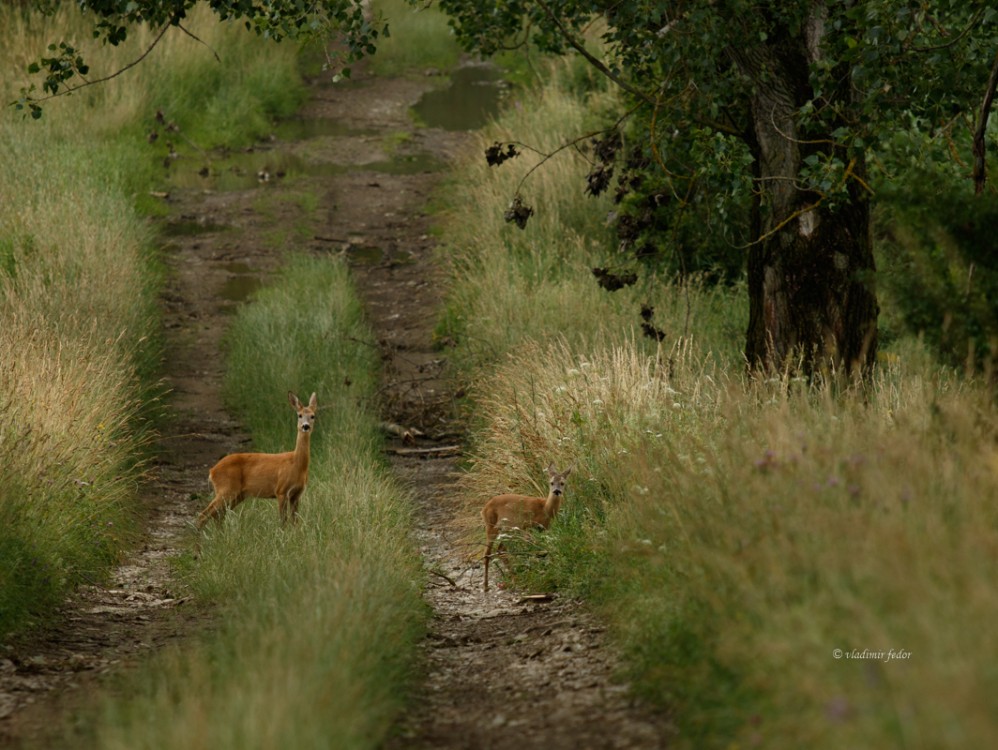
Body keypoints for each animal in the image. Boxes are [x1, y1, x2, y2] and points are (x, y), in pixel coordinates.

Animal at [197, 394, 318, 528]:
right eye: (299, 415)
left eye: (312, 416)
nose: (305, 426)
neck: (297, 464)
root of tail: (212, 471)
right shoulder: (281, 490)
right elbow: (283, 521)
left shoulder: (297, 494)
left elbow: (295, 521)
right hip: (225, 489)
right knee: (204, 515)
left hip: (237, 495)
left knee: (218, 515)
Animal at [482, 464, 576, 592]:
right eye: (551, 483)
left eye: (562, 483)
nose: (557, 491)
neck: (544, 509)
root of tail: (484, 508)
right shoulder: (528, 527)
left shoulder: (544, 529)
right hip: (492, 525)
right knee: (487, 552)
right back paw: (486, 586)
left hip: (507, 530)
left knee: (501, 549)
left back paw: (514, 580)